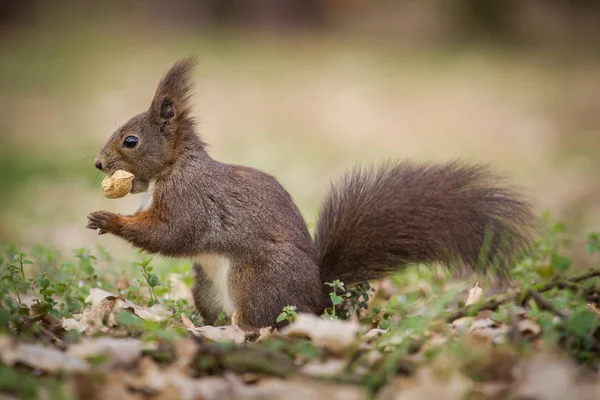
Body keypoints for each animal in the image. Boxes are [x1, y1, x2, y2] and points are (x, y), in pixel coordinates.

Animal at [88, 58, 540, 328]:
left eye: (130, 141)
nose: (98, 164)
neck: (175, 166)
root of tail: (319, 301)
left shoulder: (191, 198)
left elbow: (172, 233)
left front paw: (109, 220)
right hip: (207, 288)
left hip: (255, 277)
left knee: (261, 321)